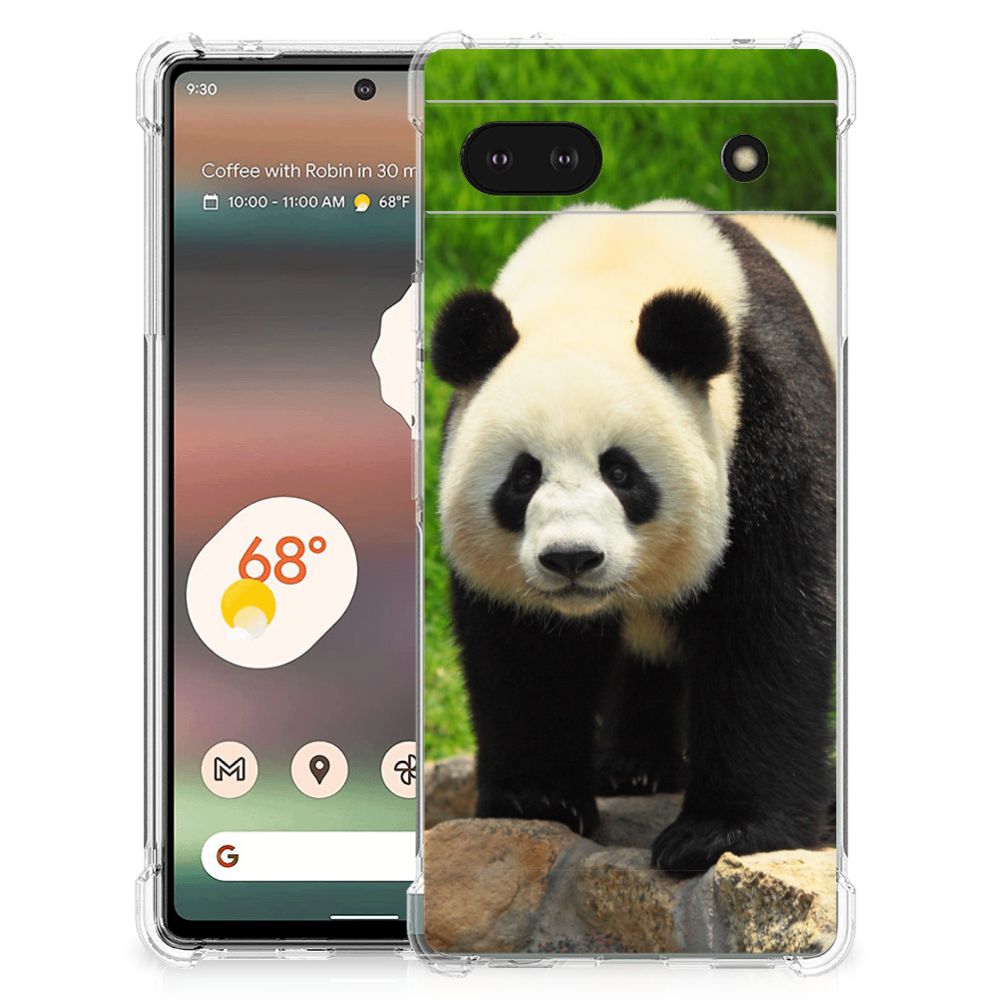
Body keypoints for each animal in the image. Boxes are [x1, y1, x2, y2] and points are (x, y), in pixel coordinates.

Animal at [430, 200, 837, 877]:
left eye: (620, 472)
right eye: (523, 476)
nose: (571, 558)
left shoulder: (772, 418)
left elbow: (769, 621)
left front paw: (720, 832)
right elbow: (525, 649)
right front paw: (538, 799)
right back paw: (634, 769)